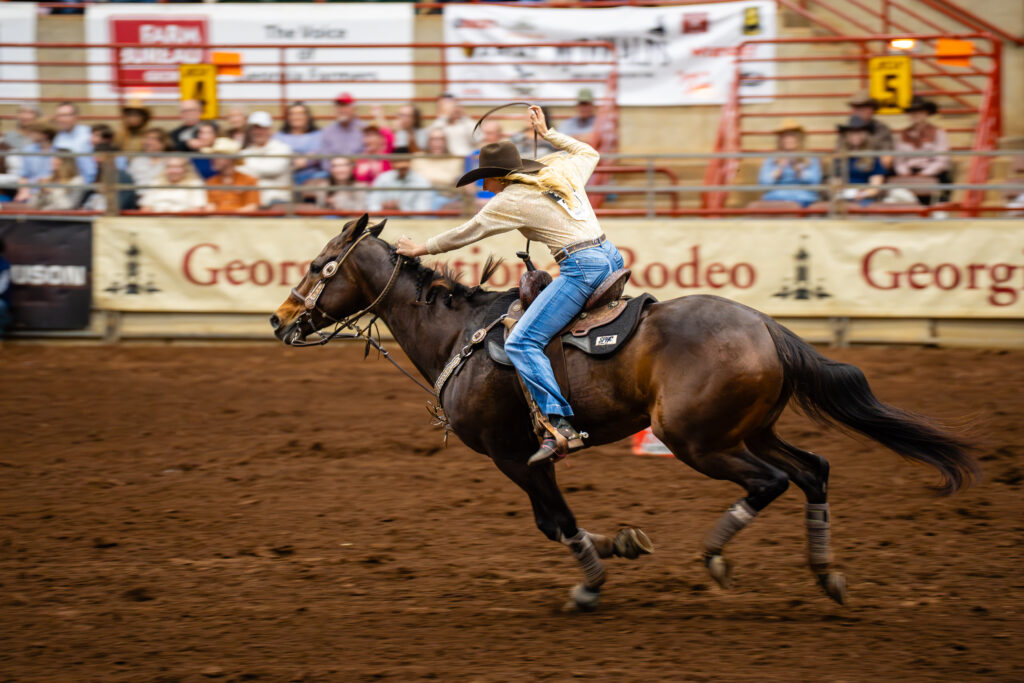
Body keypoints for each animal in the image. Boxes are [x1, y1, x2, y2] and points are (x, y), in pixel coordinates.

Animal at [270, 214, 978, 610]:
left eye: (318, 265)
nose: (278, 321)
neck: (460, 336)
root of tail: (768, 327)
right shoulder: (524, 459)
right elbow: (555, 524)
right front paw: (623, 545)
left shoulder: (516, 455)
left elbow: (555, 523)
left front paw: (592, 582)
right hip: (750, 429)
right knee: (813, 470)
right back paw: (826, 574)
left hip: (696, 438)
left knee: (773, 481)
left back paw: (718, 559)